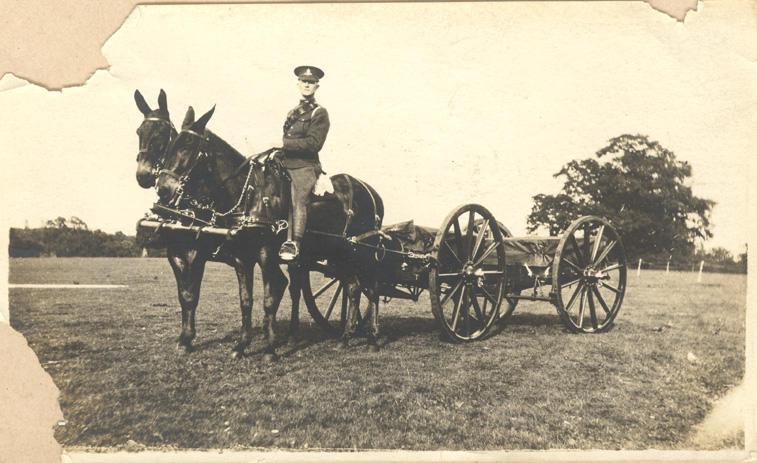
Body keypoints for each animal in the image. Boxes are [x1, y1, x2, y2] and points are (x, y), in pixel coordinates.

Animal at [157, 106, 386, 358]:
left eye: (187, 146)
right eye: (170, 145)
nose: (162, 189)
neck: (250, 195)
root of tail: (374, 194)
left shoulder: (266, 255)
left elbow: (268, 298)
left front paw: (269, 349)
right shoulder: (241, 258)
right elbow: (246, 300)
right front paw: (241, 345)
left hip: (364, 253)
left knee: (373, 289)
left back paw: (373, 338)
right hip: (341, 255)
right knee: (353, 288)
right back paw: (345, 338)